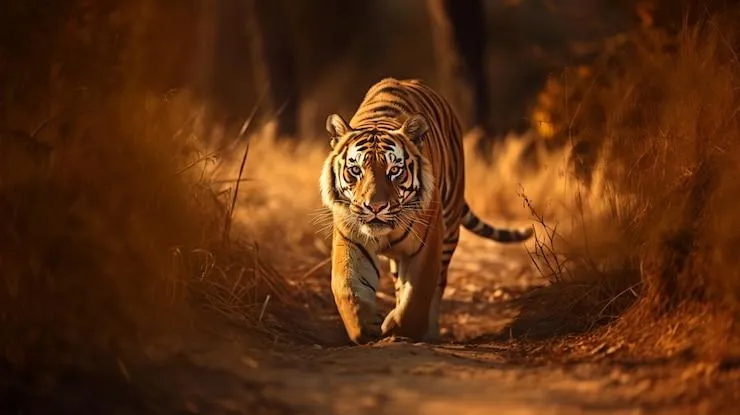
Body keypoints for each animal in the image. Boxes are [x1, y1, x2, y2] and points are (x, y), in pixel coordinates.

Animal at [319, 78, 533, 344]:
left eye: (394, 170)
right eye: (356, 170)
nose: (375, 207)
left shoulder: (428, 241)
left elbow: (418, 295)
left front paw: (398, 329)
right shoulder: (351, 239)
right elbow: (347, 287)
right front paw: (365, 327)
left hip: (449, 231)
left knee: (438, 285)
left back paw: (430, 332)